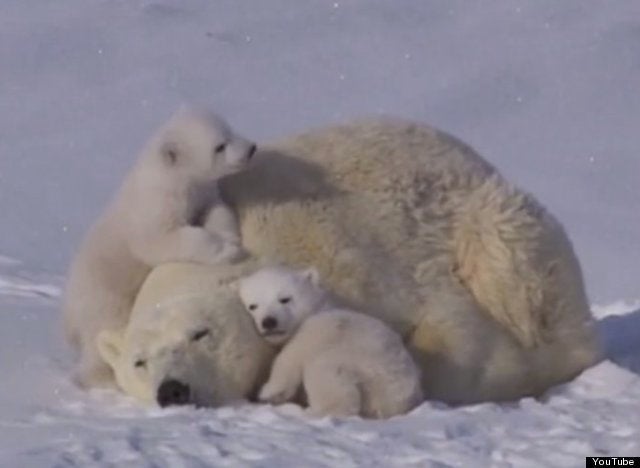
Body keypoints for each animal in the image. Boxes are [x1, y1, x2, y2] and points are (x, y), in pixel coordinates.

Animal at [63, 106, 256, 388]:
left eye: (229, 130)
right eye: (219, 146)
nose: (251, 148)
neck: (170, 176)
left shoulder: (201, 193)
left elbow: (216, 209)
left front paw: (230, 238)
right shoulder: (155, 206)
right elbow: (160, 241)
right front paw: (227, 251)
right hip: (106, 298)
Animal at [238, 266, 422, 418]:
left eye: (284, 299)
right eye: (253, 306)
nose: (269, 322)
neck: (319, 309)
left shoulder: (314, 331)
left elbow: (289, 358)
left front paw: (268, 392)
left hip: (364, 367)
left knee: (327, 378)